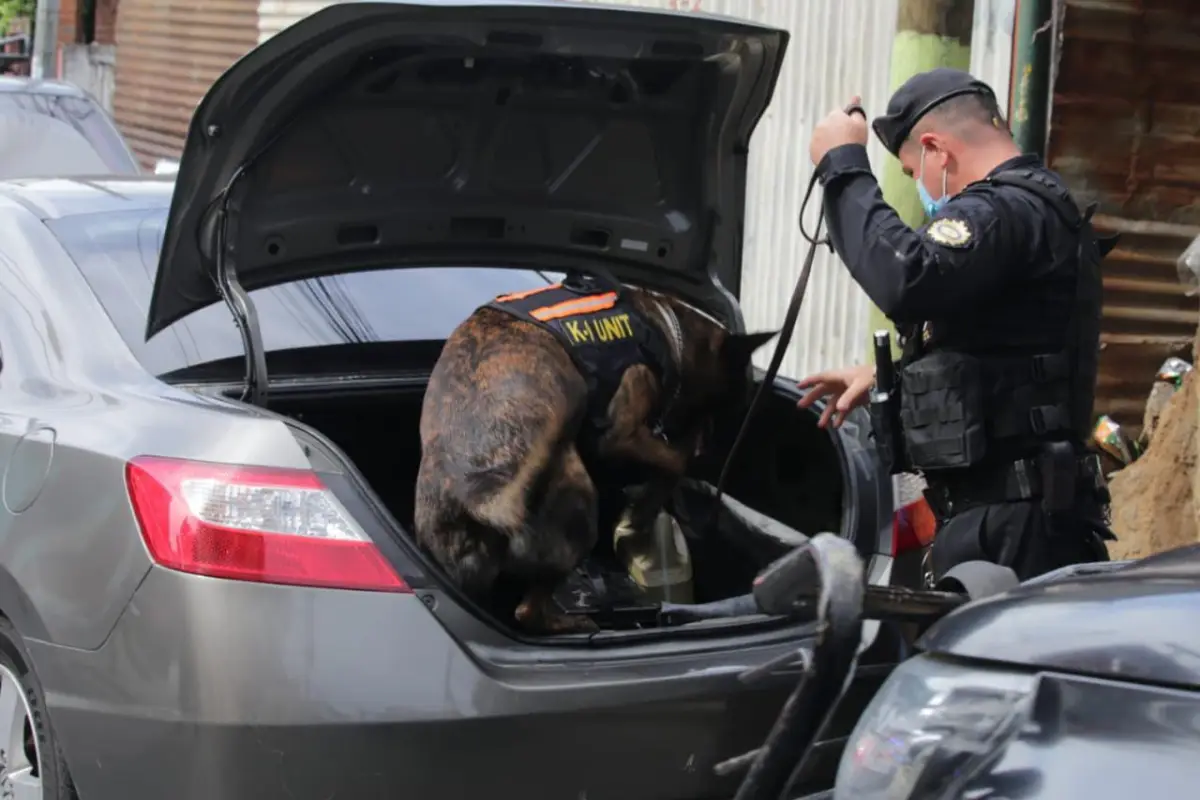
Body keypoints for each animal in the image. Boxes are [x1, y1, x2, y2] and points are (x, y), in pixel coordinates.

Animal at [417, 272, 777, 633]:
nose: (710, 444)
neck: (668, 329)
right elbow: (675, 462)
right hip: (579, 501)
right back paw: (573, 622)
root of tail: (477, 498)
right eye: (737, 396)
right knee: (528, 611)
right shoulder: (621, 434)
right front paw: (641, 513)